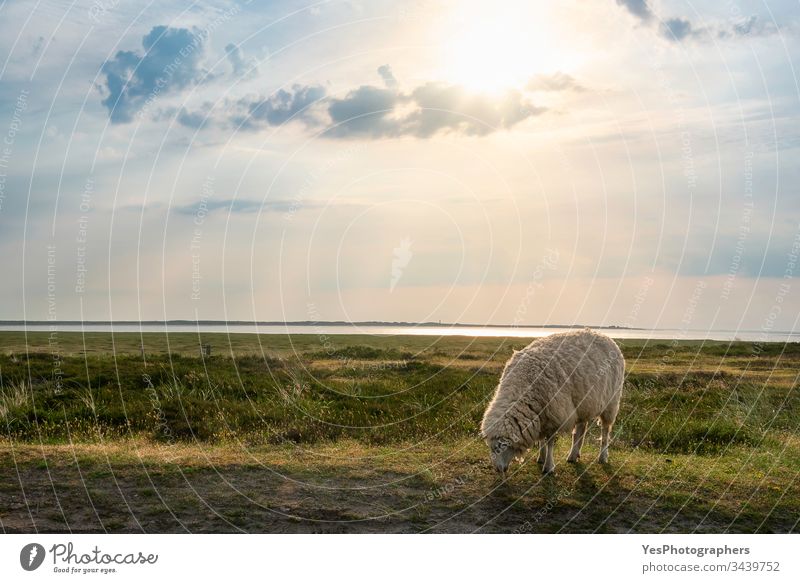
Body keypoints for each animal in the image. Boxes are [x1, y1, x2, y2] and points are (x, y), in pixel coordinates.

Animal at [482, 328, 624, 474]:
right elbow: (541, 440)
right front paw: (541, 457)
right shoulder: (540, 413)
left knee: (605, 431)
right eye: (490, 447)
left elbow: (549, 442)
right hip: (584, 404)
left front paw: (548, 466)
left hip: (611, 403)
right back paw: (573, 455)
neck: (522, 384)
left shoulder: (553, 413)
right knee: (580, 430)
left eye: (501, 446)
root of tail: (604, 336)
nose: (498, 469)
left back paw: (602, 456)